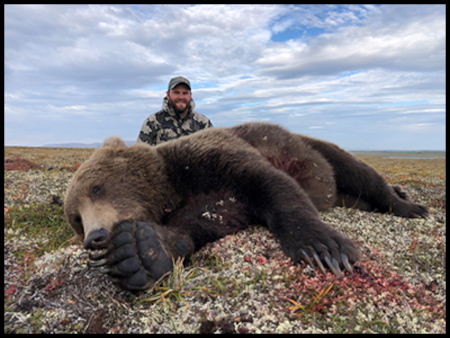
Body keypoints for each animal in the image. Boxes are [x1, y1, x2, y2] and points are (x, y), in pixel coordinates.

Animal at [64, 121, 428, 290]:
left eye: (97, 187)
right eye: (75, 219)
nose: (95, 237)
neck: (172, 187)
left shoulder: (211, 158)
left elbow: (270, 184)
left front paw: (323, 248)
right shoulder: (212, 202)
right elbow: (205, 222)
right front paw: (138, 253)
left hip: (313, 148)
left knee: (357, 170)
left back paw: (406, 204)